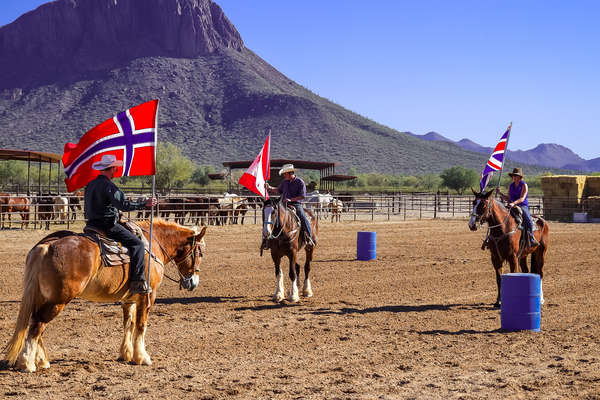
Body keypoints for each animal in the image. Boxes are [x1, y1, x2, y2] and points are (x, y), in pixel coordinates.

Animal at [3, 219, 207, 372]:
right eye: (200, 253)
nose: (193, 282)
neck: (153, 243)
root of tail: (46, 246)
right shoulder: (148, 296)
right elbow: (141, 325)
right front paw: (142, 357)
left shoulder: (130, 299)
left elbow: (128, 324)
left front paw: (125, 354)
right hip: (58, 300)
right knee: (37, 325)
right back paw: (28, 363)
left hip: (45, 297)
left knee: (36, 324)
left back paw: (41, 360)